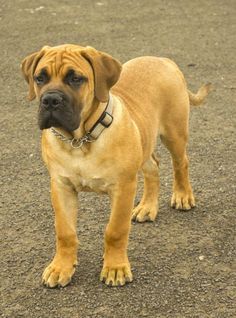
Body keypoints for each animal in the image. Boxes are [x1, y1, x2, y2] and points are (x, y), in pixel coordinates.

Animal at [21, 45, 210, 288]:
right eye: (40, 78)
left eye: (75, 78)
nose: (50, 100)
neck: (79, 141)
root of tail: (163, 60)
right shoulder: (61, 186)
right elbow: (65, 232)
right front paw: (60, 267)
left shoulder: (123, 187)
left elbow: (115, 230)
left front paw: (115, 268)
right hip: (144, 141)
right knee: (153, 167)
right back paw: (147, 207)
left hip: (174, 133)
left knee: (181, 163)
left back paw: (183, 196)